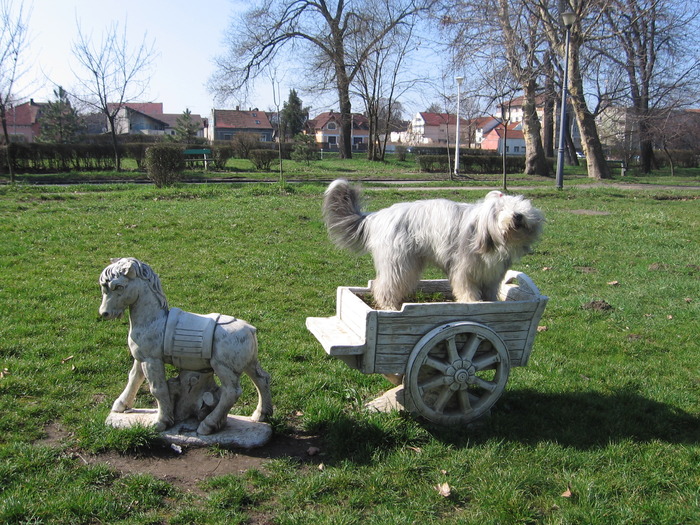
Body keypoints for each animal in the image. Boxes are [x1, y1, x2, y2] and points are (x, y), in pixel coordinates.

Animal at [322, 180, 548, 312]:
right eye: (501, 210)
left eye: (521, 205)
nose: (517, 216)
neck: (488, 236)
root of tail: (377, 217)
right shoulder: (463, 268)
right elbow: (465, 287)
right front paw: (472, 302)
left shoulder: (492, 273)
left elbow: (491, 291)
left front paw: (492, 303)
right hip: (399, 262)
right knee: (382, 285)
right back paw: (389, 306)